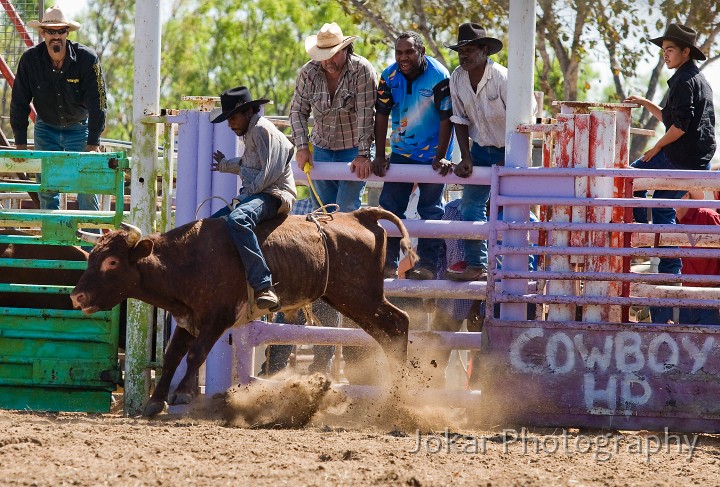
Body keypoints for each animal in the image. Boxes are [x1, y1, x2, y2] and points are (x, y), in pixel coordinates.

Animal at [71, 208, 416, 418]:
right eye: (91, 257)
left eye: (112, 262)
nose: (76, 296)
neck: (187, 261)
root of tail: (360, 215)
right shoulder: (188, 318)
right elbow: (172, 356)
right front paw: (156, 400)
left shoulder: (218, 318)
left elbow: (196, 354)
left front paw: (183, 395)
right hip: (353, 299)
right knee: (390, 331)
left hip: (359, 295)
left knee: (399, 324)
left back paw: (399, 395)